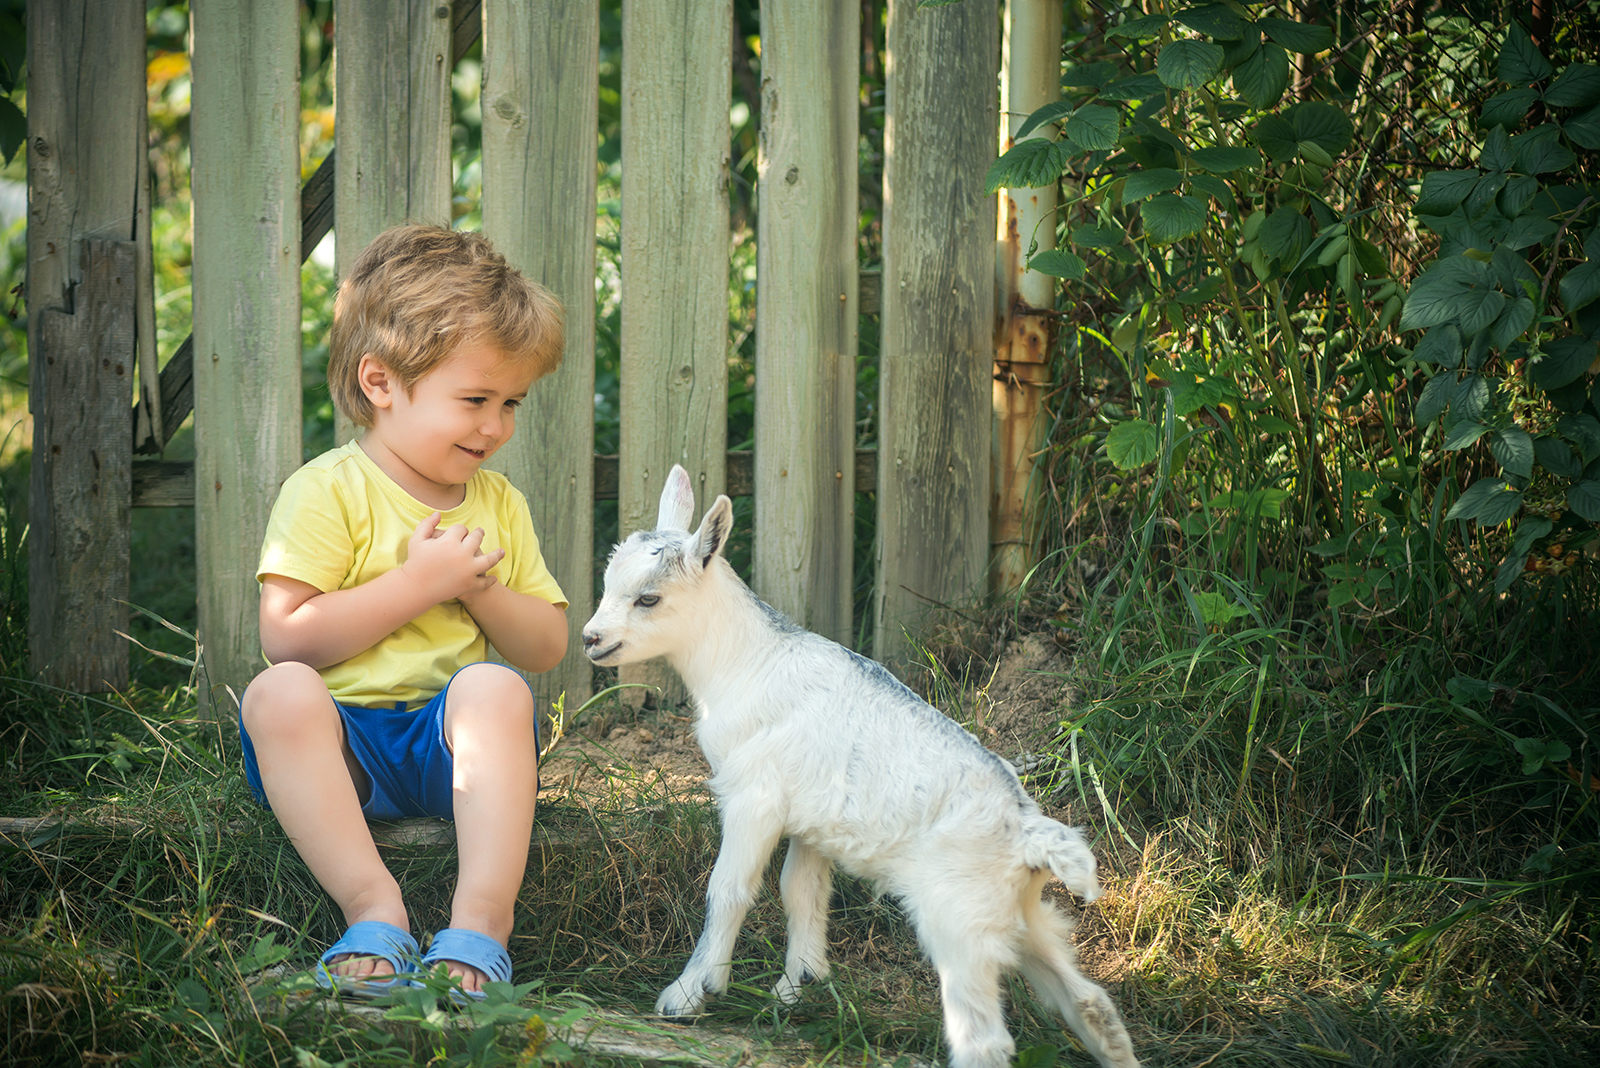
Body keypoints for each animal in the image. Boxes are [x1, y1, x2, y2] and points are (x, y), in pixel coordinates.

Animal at [582, 466, 1145, 1068]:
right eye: (608, 582)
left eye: (648, 598)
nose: (591, 638)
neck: (746, 664)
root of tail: (1028, 833)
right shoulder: (811, 820)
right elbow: (802, 891)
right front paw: (800, 985)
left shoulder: (754, 797)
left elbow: (729, 888)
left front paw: (689, 994)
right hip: (1022, 916)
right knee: (1092, 1004)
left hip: (959, 919)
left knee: (984, 1039)